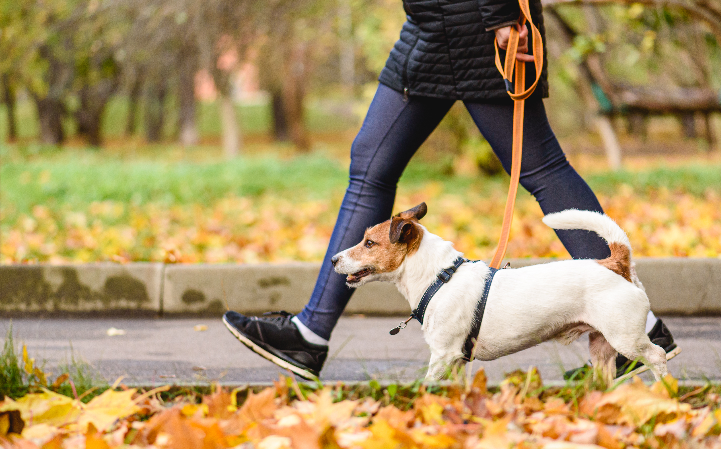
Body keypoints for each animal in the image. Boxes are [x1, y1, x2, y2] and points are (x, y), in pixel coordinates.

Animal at [332, 203, 668, 382]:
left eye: (369, 243)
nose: (334, 259)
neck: (439, 278)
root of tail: (615, 262)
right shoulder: (455, 361)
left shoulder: (442, 355)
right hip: (602, 348)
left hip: (626, 339)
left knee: (658, 355)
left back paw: (665, 389)